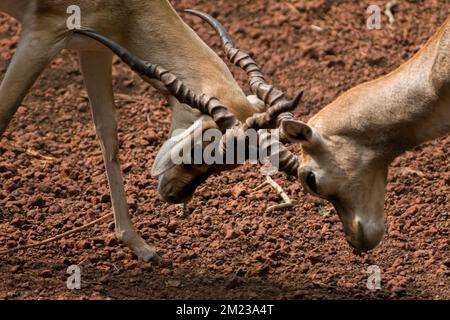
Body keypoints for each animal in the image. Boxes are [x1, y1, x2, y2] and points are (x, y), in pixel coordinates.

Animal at [0, 0, 302, 262]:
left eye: (224, 166)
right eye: (200, 150)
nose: (175, 195)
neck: (126, 9)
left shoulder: (93, 47)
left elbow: (109, 135)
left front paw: (138, 245)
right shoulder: (41, 36)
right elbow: (4, 114)